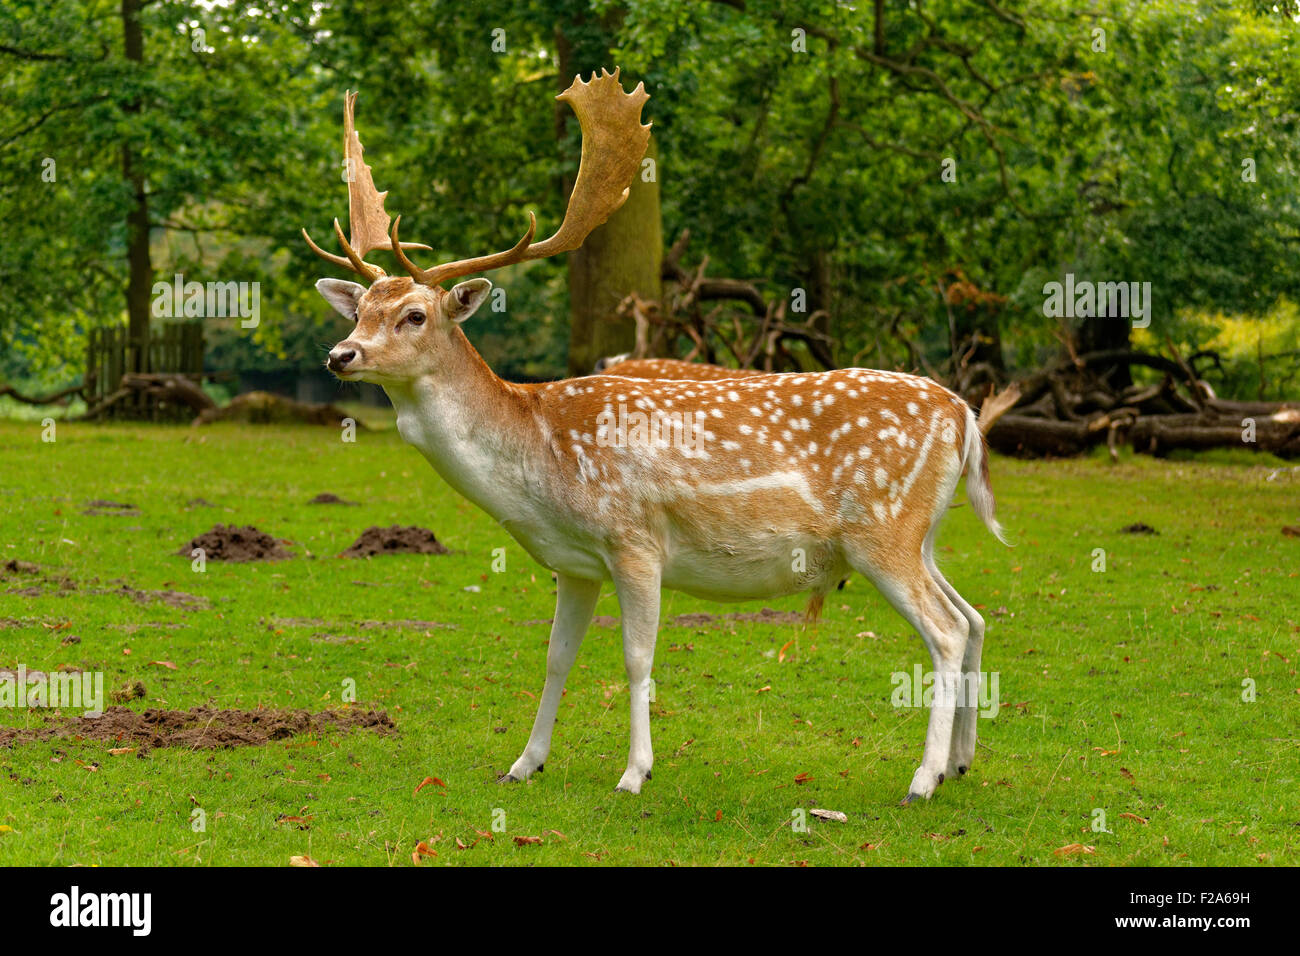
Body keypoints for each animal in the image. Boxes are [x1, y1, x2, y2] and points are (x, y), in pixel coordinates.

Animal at [301, 69, 1003, 801]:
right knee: (974, 616)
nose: (341, 355)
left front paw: (634, 771)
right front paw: (525, 762)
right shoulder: (574, 563)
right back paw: (961, 761)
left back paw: (923, 778)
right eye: (361, 308)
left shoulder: (634, 539)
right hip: (920, 533)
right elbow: (556, 657)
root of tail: (962, 413)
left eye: (414, 314)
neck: (537, 462)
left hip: (883, 529)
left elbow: (637, 657)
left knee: (946, 631)